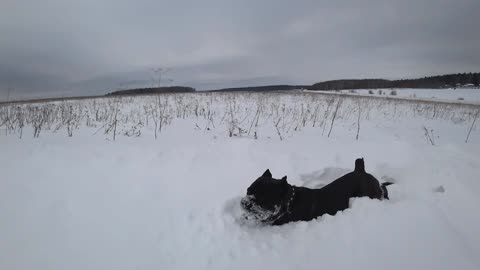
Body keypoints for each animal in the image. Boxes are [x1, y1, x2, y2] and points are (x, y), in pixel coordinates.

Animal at [242, 158, 392, 226]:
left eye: (263, 197)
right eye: (248, 190)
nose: (244, 203)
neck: (290, 203)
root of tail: (361, 170)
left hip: (371, 193)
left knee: (383, 190)